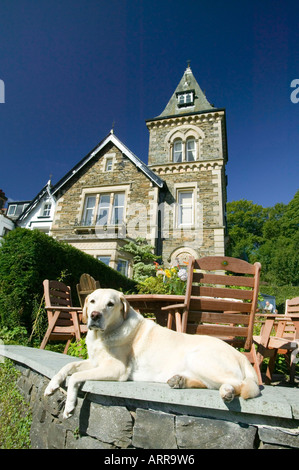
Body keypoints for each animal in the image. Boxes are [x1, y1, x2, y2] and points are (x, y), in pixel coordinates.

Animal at [44, 290, 260, 418]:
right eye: (92, 301)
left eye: (110, 304)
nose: (94, 316)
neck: (104, 335)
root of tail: (241, 356)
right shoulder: (95, 362)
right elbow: (68, 366)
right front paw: (52, 386)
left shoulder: (117, 369)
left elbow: (75, 377)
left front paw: (70, 406)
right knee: (210, 384)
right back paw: (179, 381)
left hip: (198, 357)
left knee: (242, 385)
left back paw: (227, 392)